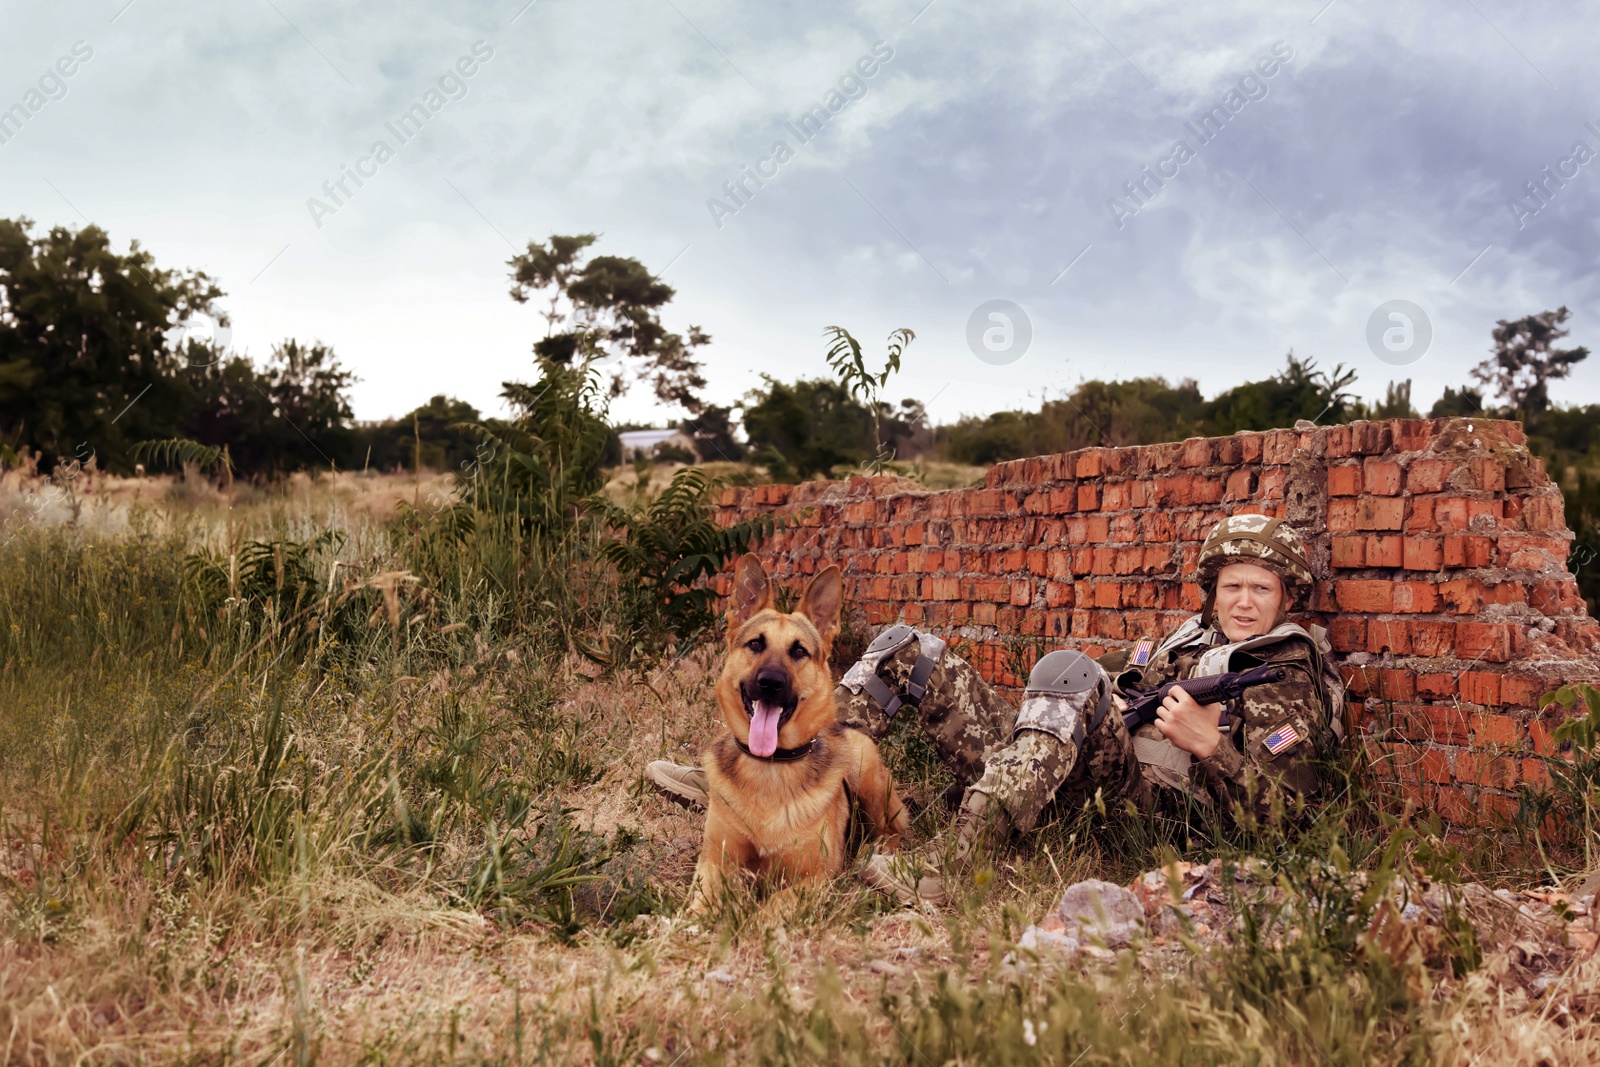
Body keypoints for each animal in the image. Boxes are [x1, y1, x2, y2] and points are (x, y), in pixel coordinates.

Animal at [691, 556, 915, 915]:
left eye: (799, 651)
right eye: (756, 644)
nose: (770, 682)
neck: (770, 766)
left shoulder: (816, 878)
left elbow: (771, 907)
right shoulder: (714, 862)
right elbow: (702, 902)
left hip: (867, 774)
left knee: (891, 829)